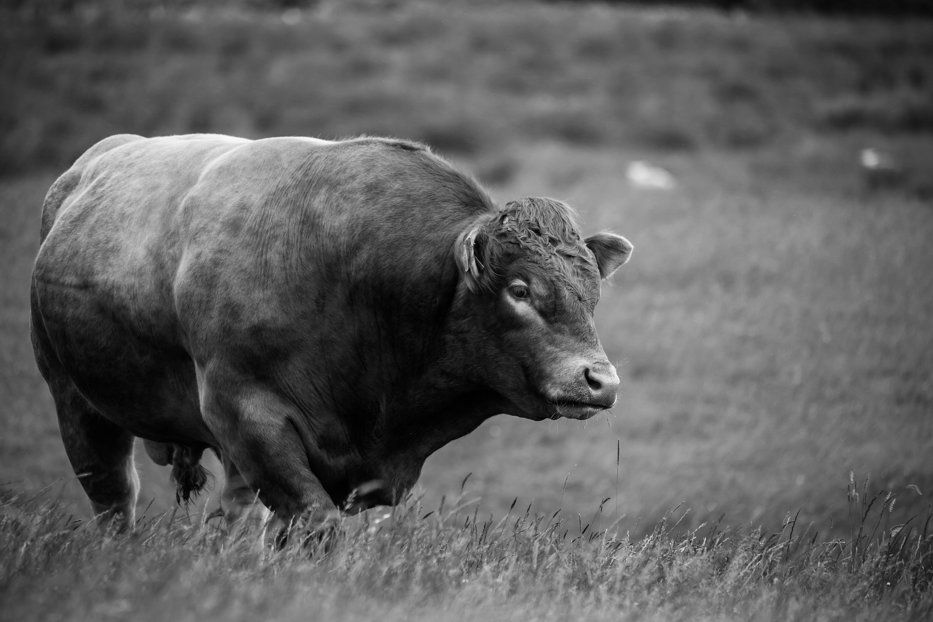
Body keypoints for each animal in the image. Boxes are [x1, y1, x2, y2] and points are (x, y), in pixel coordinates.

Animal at [30, 134, 633, 533]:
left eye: (592, 292)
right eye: (520, 289)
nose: (600, 381)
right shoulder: (249, 417)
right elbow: (314, 522)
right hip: (75, 401)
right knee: (114, 498)